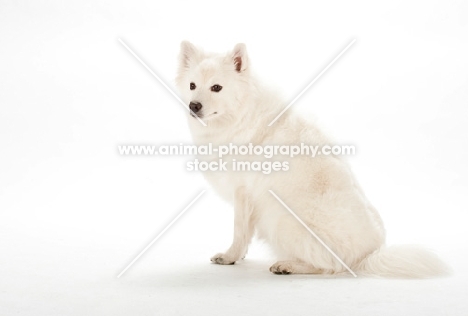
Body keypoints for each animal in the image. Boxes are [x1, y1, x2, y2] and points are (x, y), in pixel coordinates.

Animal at [176, 41, 450, 276]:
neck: (241, 117)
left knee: (330, 265)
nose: (194, 106)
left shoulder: (243, 193)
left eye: (216, 87)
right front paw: (239, 256)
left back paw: (287, 265)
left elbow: (239, 232)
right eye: (192, 86)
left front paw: (230, 257)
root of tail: (369, 255)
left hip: (279, 219)